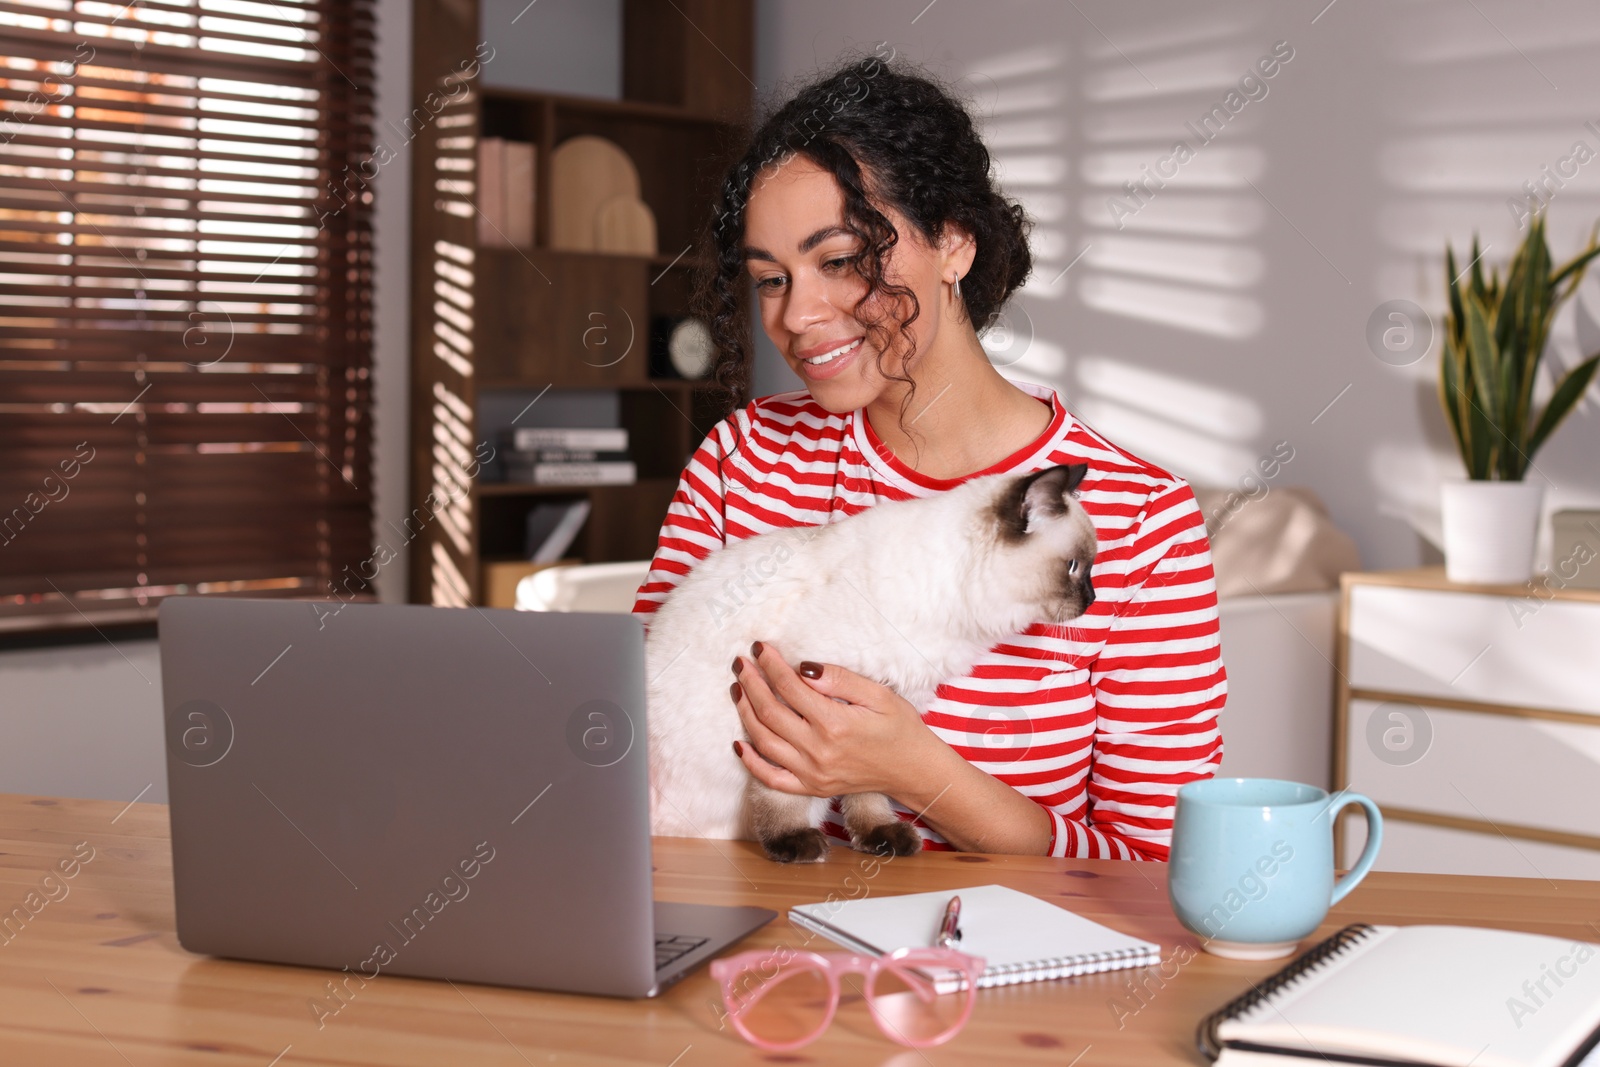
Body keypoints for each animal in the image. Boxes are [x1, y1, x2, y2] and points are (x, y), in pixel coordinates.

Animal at [643, 463, 1094, 863]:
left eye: (1087, 569)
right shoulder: (796, 697)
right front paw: (793, 842)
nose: (1091, 599)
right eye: (1074, 567)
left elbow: (868, 789)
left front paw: (881, 837)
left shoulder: (883, 708)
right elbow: (784, 791)